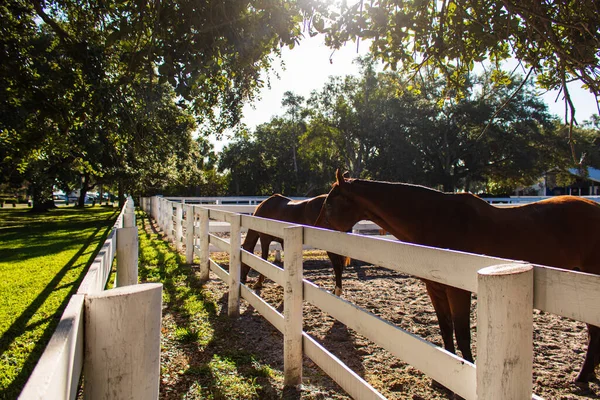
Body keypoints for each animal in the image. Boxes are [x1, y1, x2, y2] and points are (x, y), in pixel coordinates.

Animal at [314, 169, 600, 384]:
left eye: (328, 203)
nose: (312, 228)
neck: (438, 220)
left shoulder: (457, 290)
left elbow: (462, 333)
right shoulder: (436, 289)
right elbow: (445, 329)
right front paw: (443, 378)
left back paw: (582, 376)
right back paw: (586, 375)